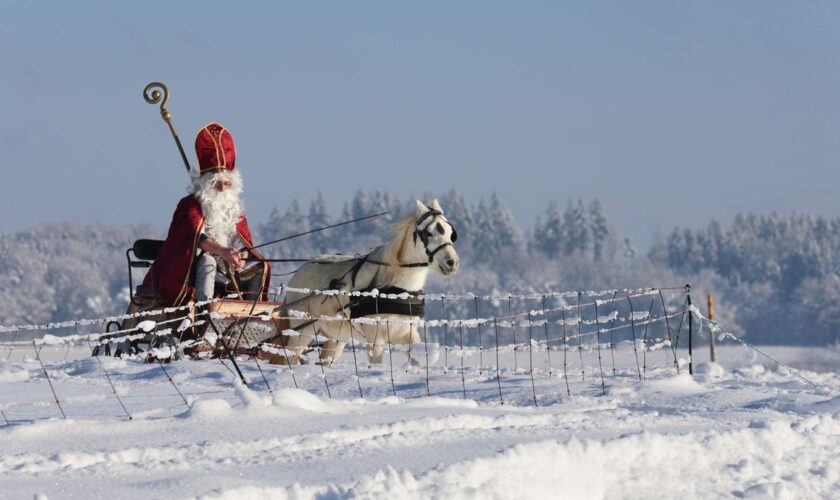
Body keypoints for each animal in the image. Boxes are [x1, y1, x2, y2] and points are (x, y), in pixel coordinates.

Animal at [286, 197, 462, 366]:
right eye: (428, 233)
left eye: (450, 232)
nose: (452, 262)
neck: (397, 288)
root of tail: (300, 271)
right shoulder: (375, 336)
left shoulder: (405, 332)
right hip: (302, 331)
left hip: (336, 337)